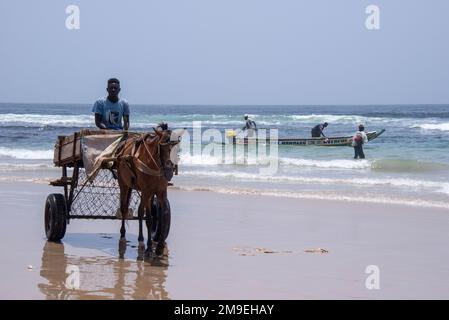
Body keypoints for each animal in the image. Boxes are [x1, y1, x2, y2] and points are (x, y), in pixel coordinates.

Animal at [114, 127, 180, 258]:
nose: (169, 170)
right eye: (162, 146)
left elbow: (163, 214)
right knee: (124, 209)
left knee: (142, 212)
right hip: (124, 185)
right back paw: (123, 237)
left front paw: (159, 247)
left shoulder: (161, 191)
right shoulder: (146, 191)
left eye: (177, 147)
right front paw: (148, 247)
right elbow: (147, 217)